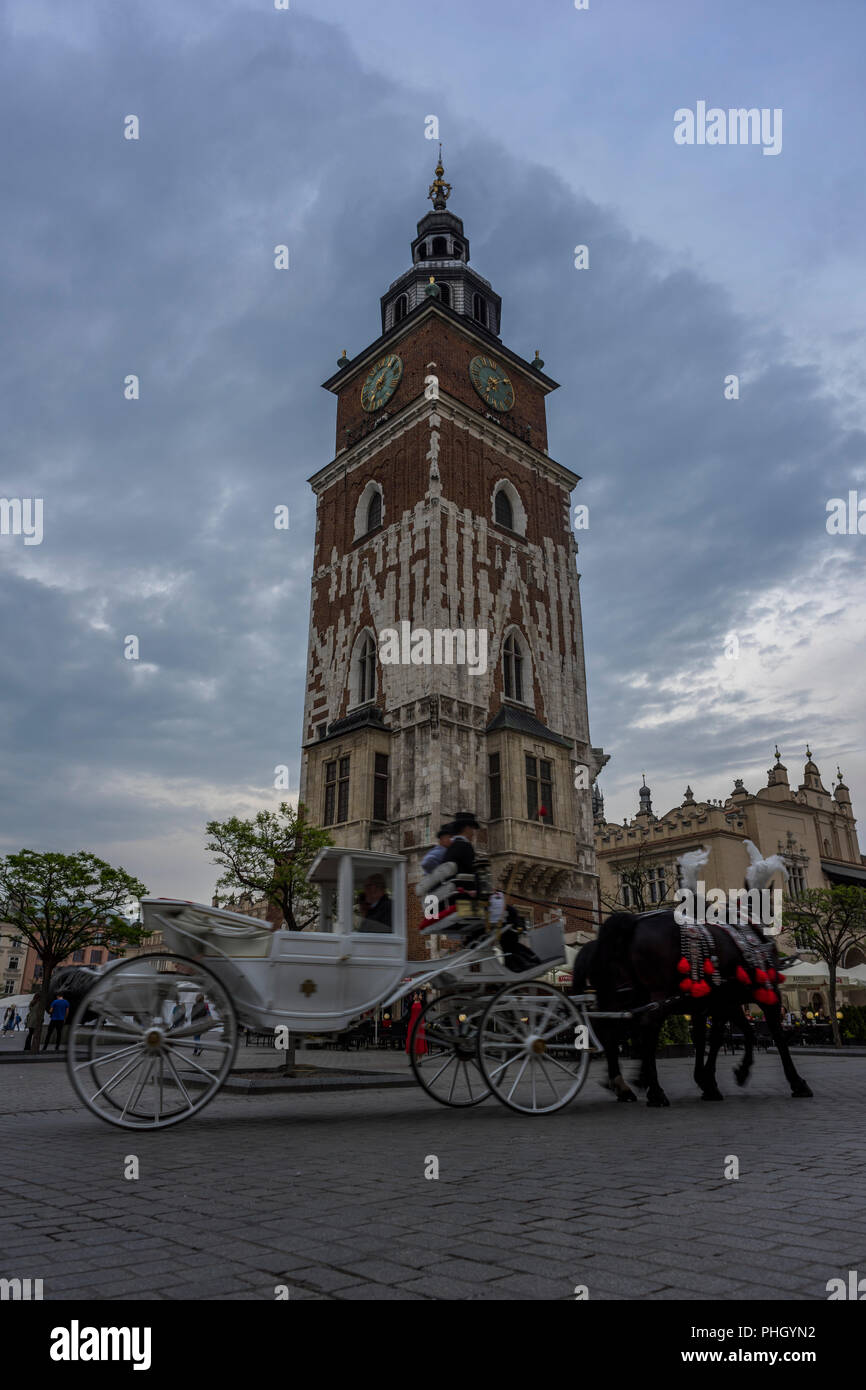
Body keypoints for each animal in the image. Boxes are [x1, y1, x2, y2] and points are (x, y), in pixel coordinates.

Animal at [575, 911, 811, 1106]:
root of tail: (632, 922)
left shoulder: (719, 1002)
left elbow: (715, 1037)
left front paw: (712, 1079)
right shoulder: (762, 995)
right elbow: (772, 1036)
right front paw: (797, 1082)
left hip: (622, 995)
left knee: (612, 1033)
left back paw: (625, 1086)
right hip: (657, 993)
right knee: (646, 1028)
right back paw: (655, 1092)